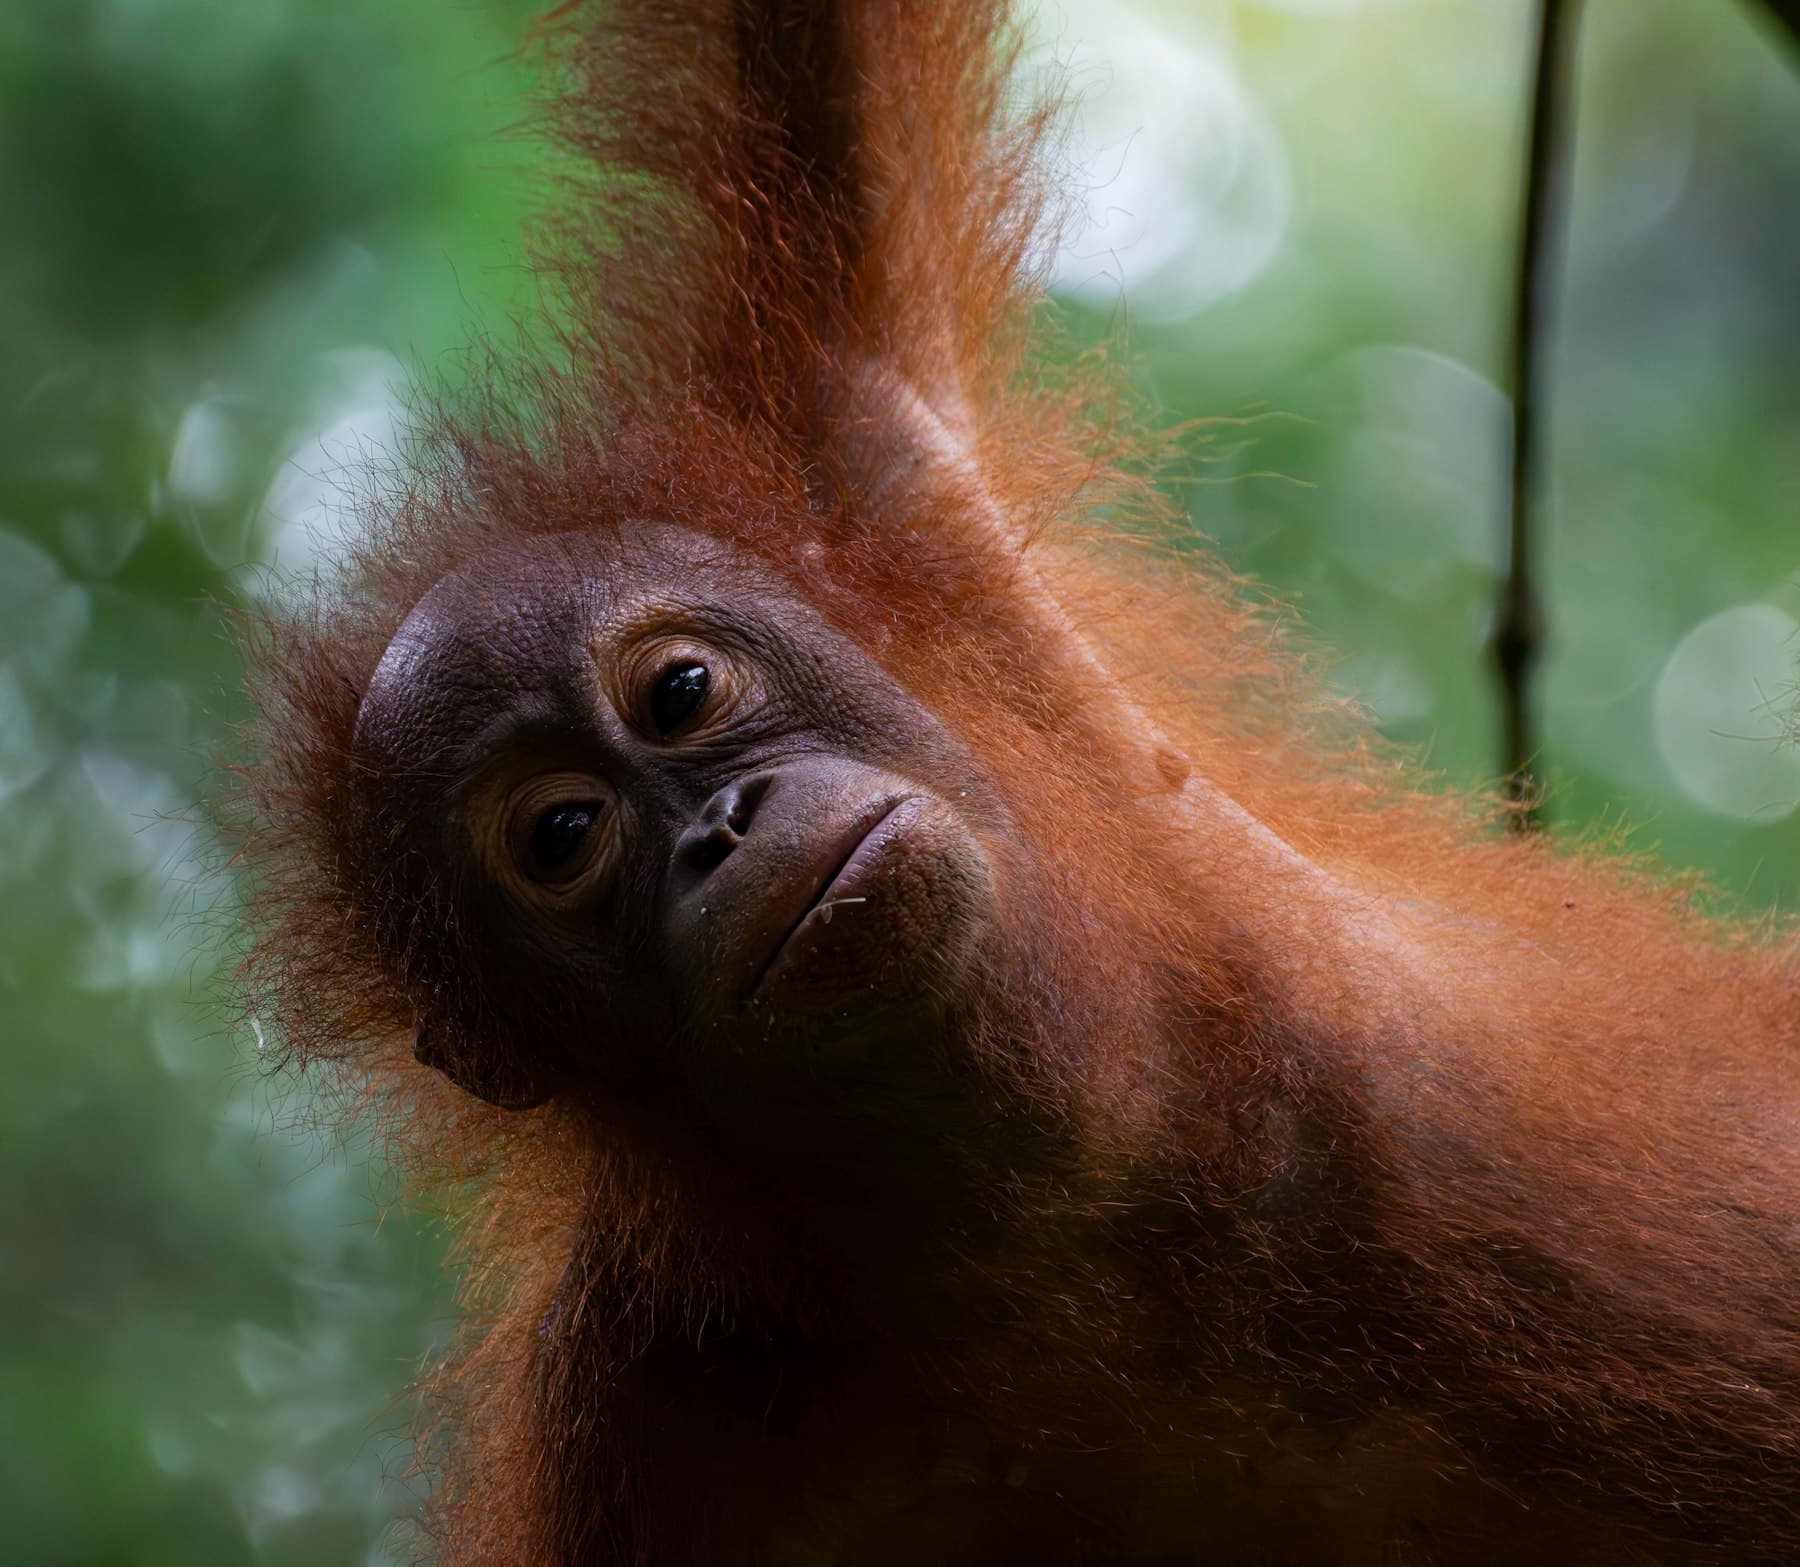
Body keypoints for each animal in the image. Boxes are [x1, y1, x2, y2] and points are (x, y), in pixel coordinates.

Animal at [228, 0, 1800, 1562]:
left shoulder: (878, 479)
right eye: (562, 832)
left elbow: (816, 67)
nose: (721, 829)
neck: (1085, 1202)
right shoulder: (645, 1438)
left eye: (678, 693)